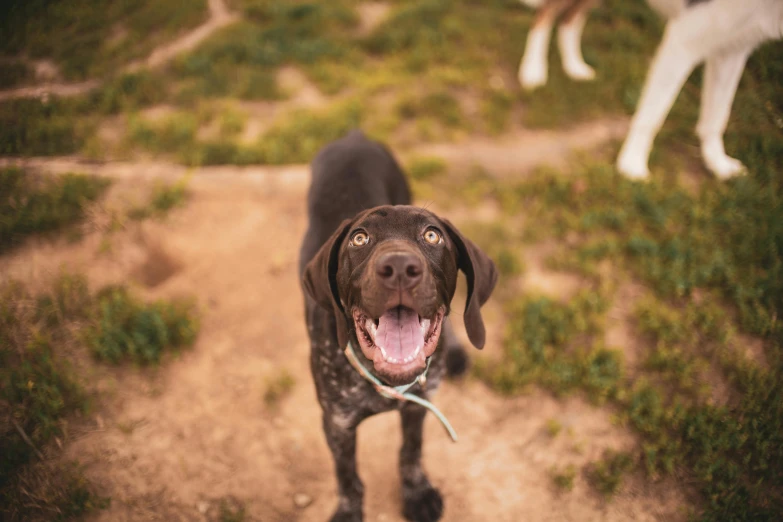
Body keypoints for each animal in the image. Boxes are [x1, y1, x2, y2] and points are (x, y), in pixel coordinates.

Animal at [520, 0, 783, 179]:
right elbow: (653, 115)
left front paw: (717, 163)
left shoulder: (734, 48)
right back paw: (533, 70)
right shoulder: (684, 39)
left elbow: (718, 115)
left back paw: (573, 65)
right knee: (546, 13)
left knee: (570, 19)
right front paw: (632, 163)